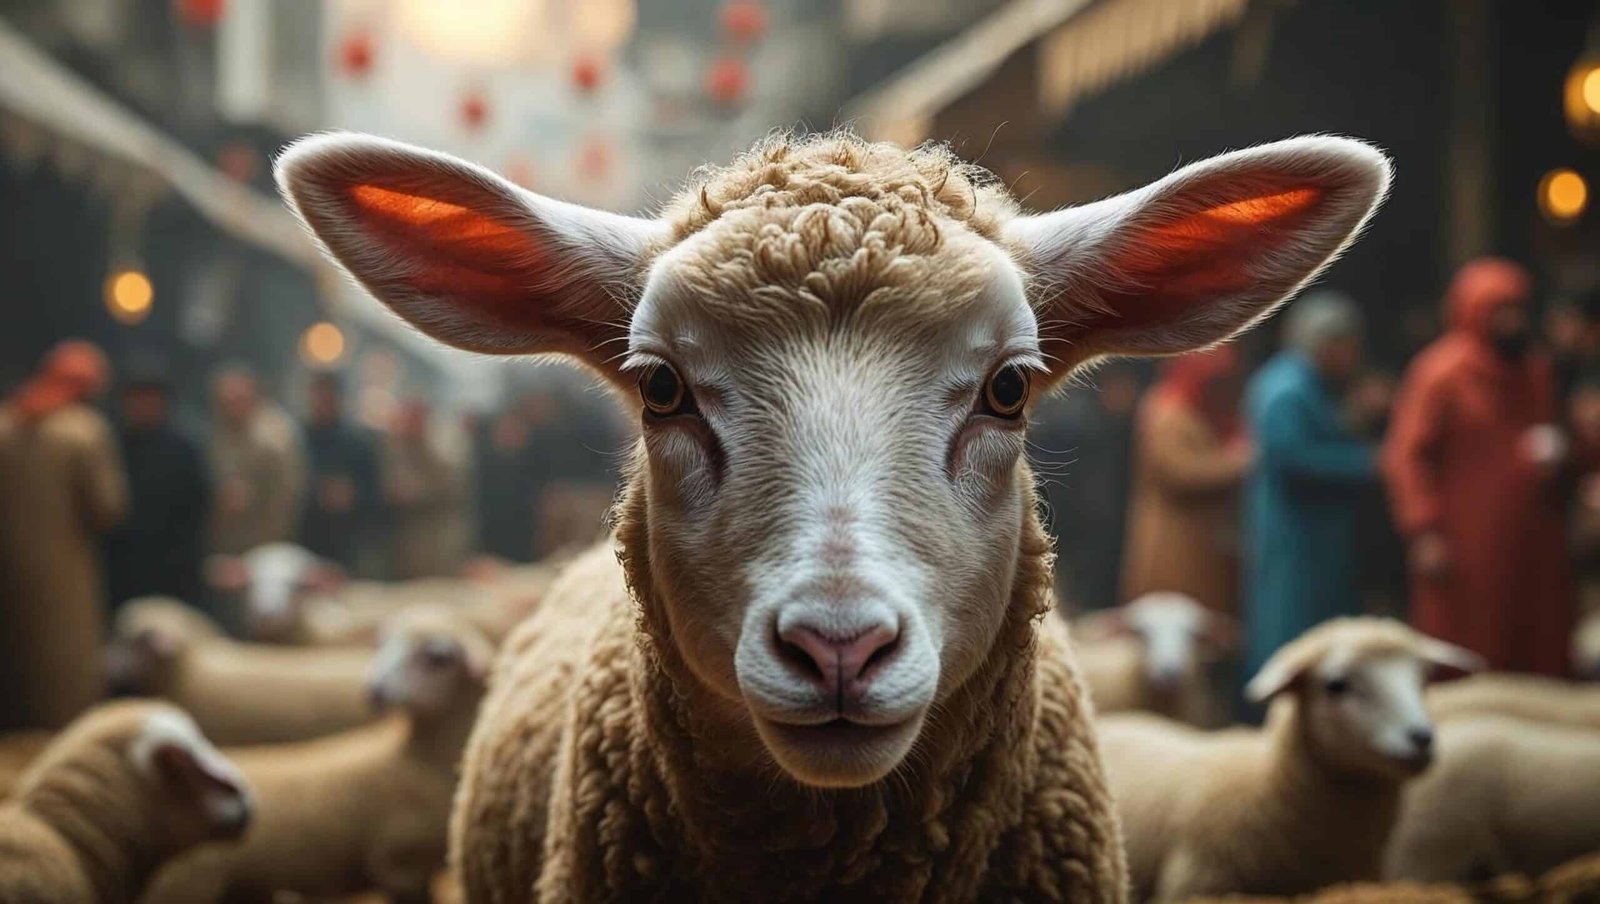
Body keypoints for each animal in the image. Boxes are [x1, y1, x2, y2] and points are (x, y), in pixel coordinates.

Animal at [140, 606, 491, 904]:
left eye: (437, 658)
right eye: (382, 643)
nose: (374, 691)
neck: (412, 759)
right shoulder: (399, 866)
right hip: (189, 886)